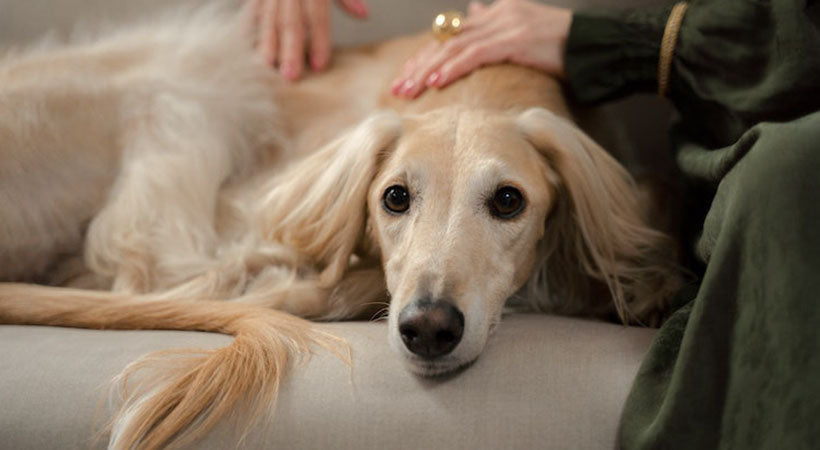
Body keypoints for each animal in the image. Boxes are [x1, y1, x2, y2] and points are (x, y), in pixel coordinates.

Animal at [0, 4, 680, 450]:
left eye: (509, 201)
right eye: (394, 197)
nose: (428, 330)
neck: (477, 85)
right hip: (191, 80)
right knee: (155, 268)